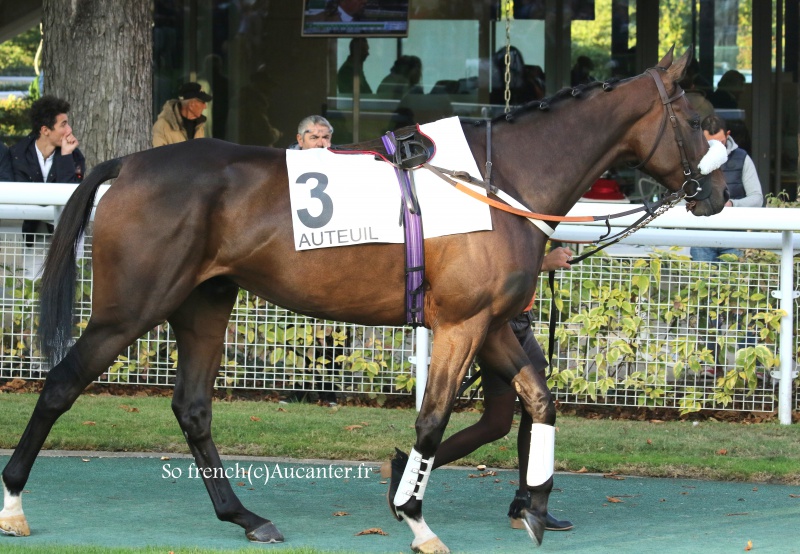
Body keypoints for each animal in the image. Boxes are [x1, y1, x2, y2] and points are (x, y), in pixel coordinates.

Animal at [0, 46, 724, 548]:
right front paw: (415, 516)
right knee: (61, 384)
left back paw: (245, 516)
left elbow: (537, 401)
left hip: (204, 301)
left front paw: (535, 508)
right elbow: (432, 422)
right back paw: (13, 502)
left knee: (193, 407)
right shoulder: (461, 324)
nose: (717, 195)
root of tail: (130, 163)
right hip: (132, 307)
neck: (498, 180)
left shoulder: (491, 323)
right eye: (700, 119)